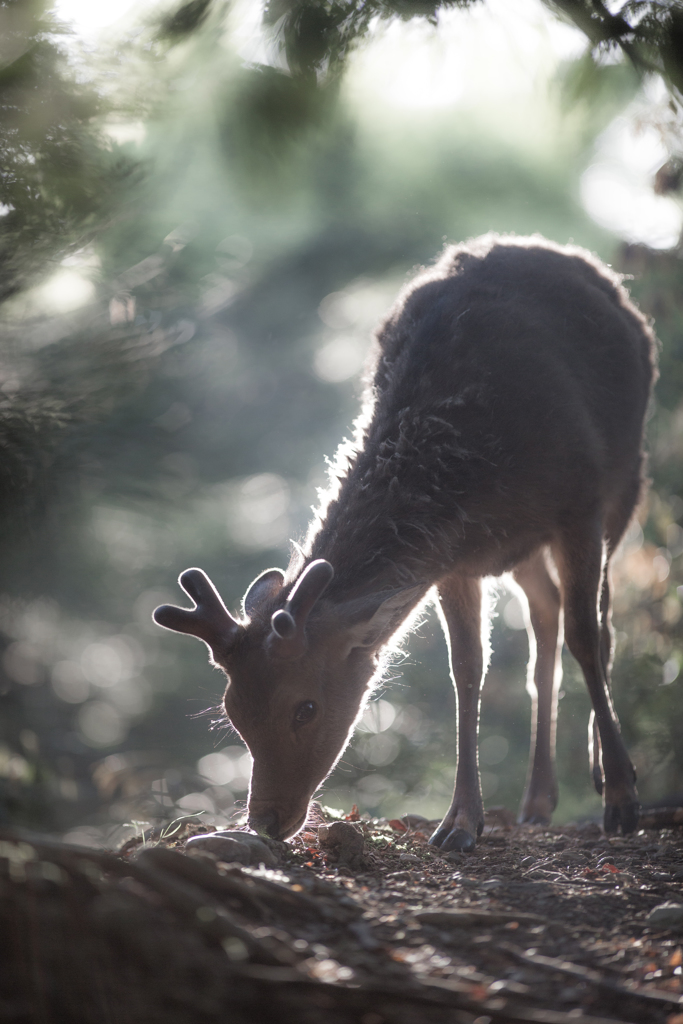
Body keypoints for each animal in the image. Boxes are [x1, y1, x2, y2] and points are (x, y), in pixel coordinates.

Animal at [153, 235, 655, 851]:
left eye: (306, 707)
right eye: (233, 712)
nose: (266, 821)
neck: (479, 459)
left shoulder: (579, 502)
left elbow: (586, 638)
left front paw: (624, 799)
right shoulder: (457, 557)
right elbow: (468, 669)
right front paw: (460, 821)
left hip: (625, 479)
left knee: (597, 627)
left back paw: (605, 777)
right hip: (524, 550)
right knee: (546, 619)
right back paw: (538, 799)